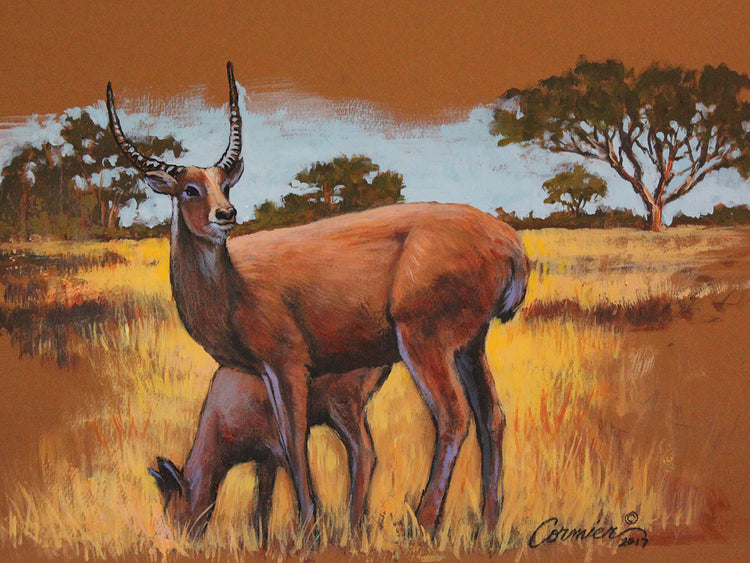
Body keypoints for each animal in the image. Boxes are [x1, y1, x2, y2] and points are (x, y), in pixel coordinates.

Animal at [149, 364, 390, 545]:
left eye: (178, 514)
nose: (180, 546)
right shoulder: (264, 457)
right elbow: (262, 503)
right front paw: (261, 543)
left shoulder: (277, 445)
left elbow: (304, 485)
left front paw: (321, 536)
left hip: (343, 402)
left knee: (363, 452)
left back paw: (353, 533)